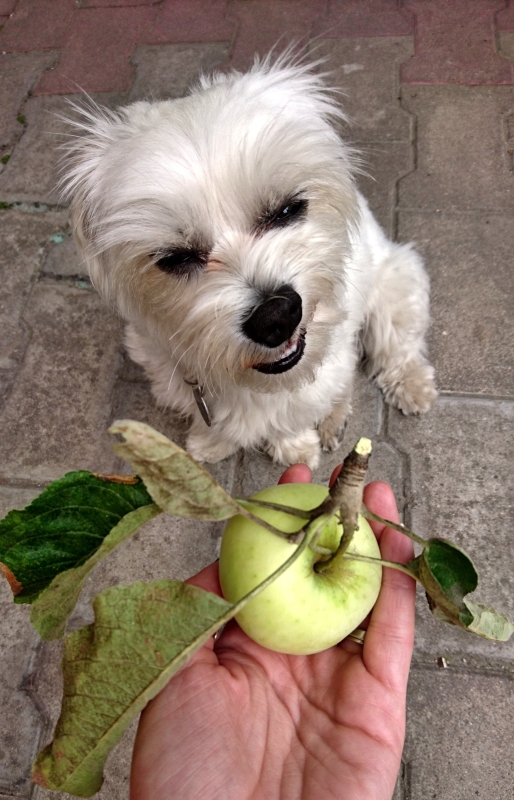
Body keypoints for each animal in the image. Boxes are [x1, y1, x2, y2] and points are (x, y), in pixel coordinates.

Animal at [62, 56, 434, 468]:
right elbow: (210, 421)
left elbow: (295, 414)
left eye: (287, 209)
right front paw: (211, 443)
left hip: (397, 287)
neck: (251, 377)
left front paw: (295, 448)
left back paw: (407, 388)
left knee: (397, 348)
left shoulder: (320, 373)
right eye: (176, 258)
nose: (275, 316)